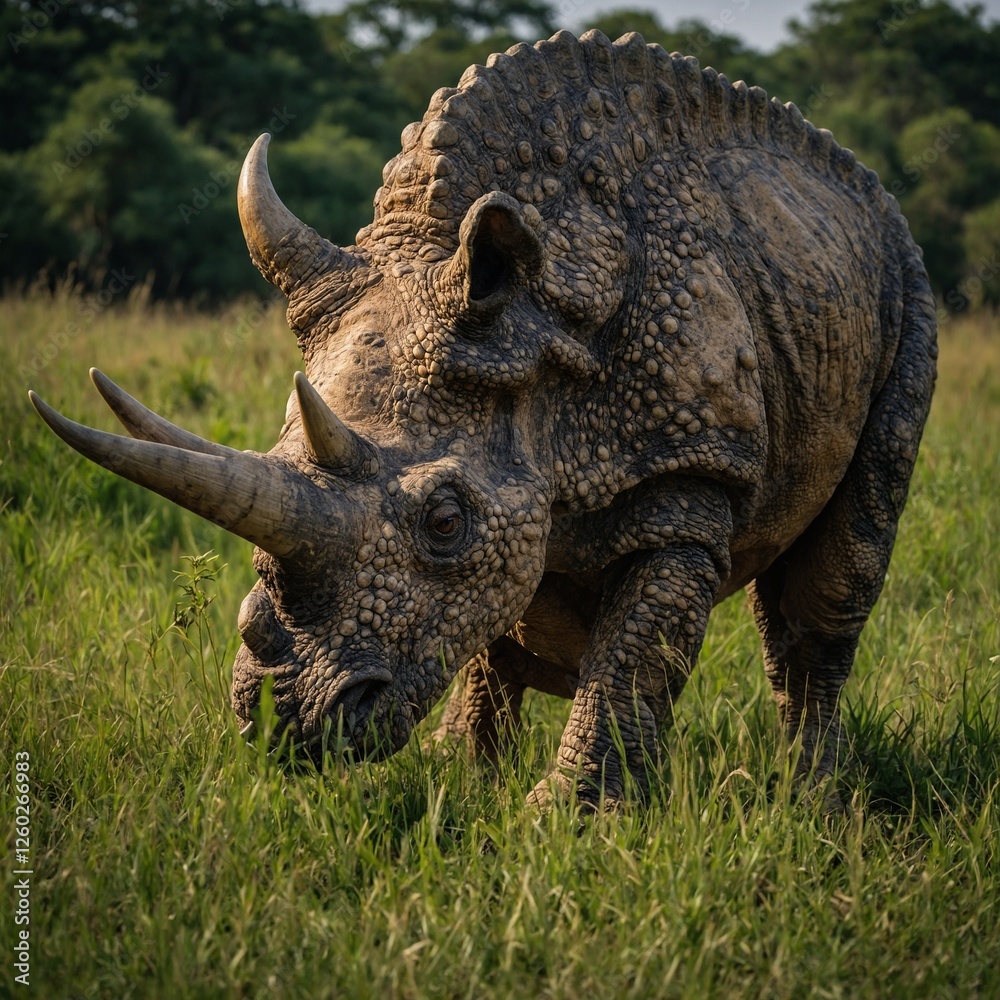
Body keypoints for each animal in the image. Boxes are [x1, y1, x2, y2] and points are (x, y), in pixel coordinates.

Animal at [30, 31, 936, 810]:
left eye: (443, 523)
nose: (286, 730)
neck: (533, 328)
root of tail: (861, 184)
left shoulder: (690, 472)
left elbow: (635, 650)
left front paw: (566, 824)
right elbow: (500, 620)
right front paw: (462, 787)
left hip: (907, 287)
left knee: (830, 584)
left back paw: (811, 801)